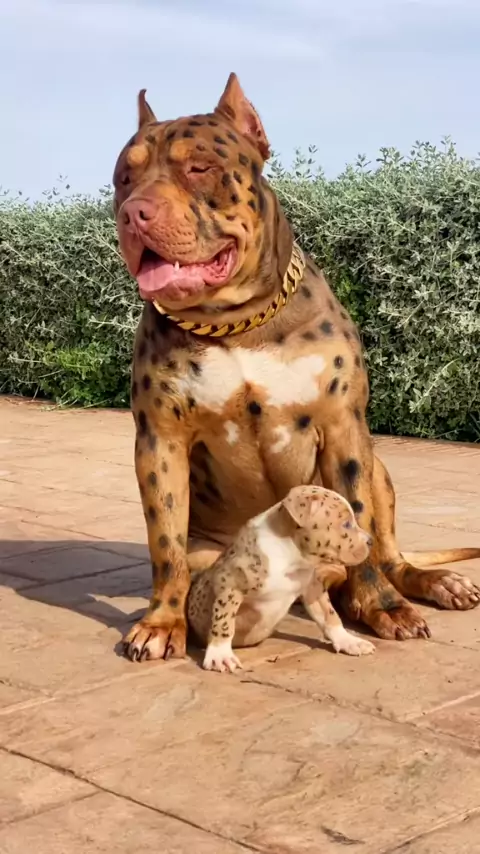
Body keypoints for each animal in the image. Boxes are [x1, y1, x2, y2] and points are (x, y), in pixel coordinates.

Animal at [187, 485, 375, 672]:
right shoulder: (229, 585)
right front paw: (220, 654)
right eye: (346, 524)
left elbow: (329, 614)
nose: (371, 541)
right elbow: (223, 621)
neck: (289, 558)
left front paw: (348, 641)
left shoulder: (312, 587)